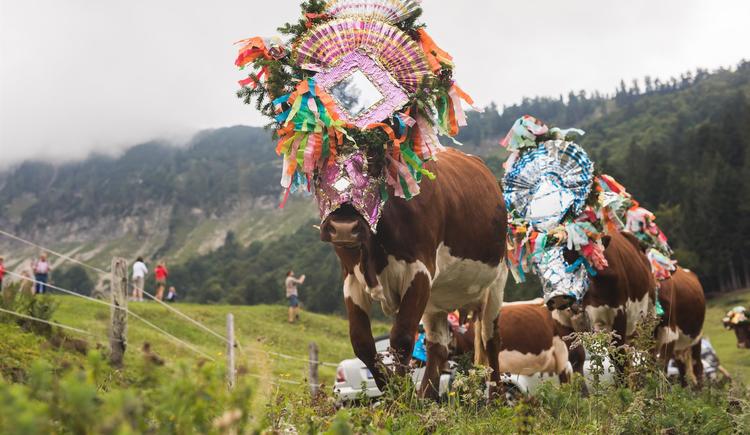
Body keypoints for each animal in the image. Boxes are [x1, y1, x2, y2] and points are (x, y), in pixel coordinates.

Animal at [320, 149, 508, 398]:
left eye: (373, 159)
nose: (343, 228)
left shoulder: (419, 271)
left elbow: (402, 338)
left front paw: (400, 394)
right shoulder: (351, 279)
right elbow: (361, 341)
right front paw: (391, 389)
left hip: (497, 282)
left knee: (491, 340)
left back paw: (496, 397)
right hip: (436, 297)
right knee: (438, 345)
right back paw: (426, 397)